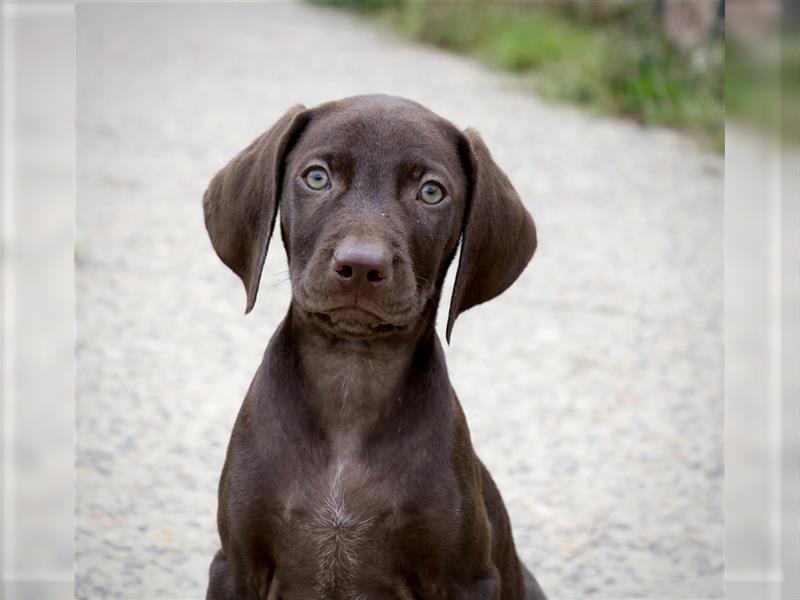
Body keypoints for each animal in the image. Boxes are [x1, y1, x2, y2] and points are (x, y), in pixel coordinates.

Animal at [203, 95, 548, 600]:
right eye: (317, 177)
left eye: (431, 192)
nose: (362, 266)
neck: (352, 378)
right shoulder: (235, 566)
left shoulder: (467, 580)